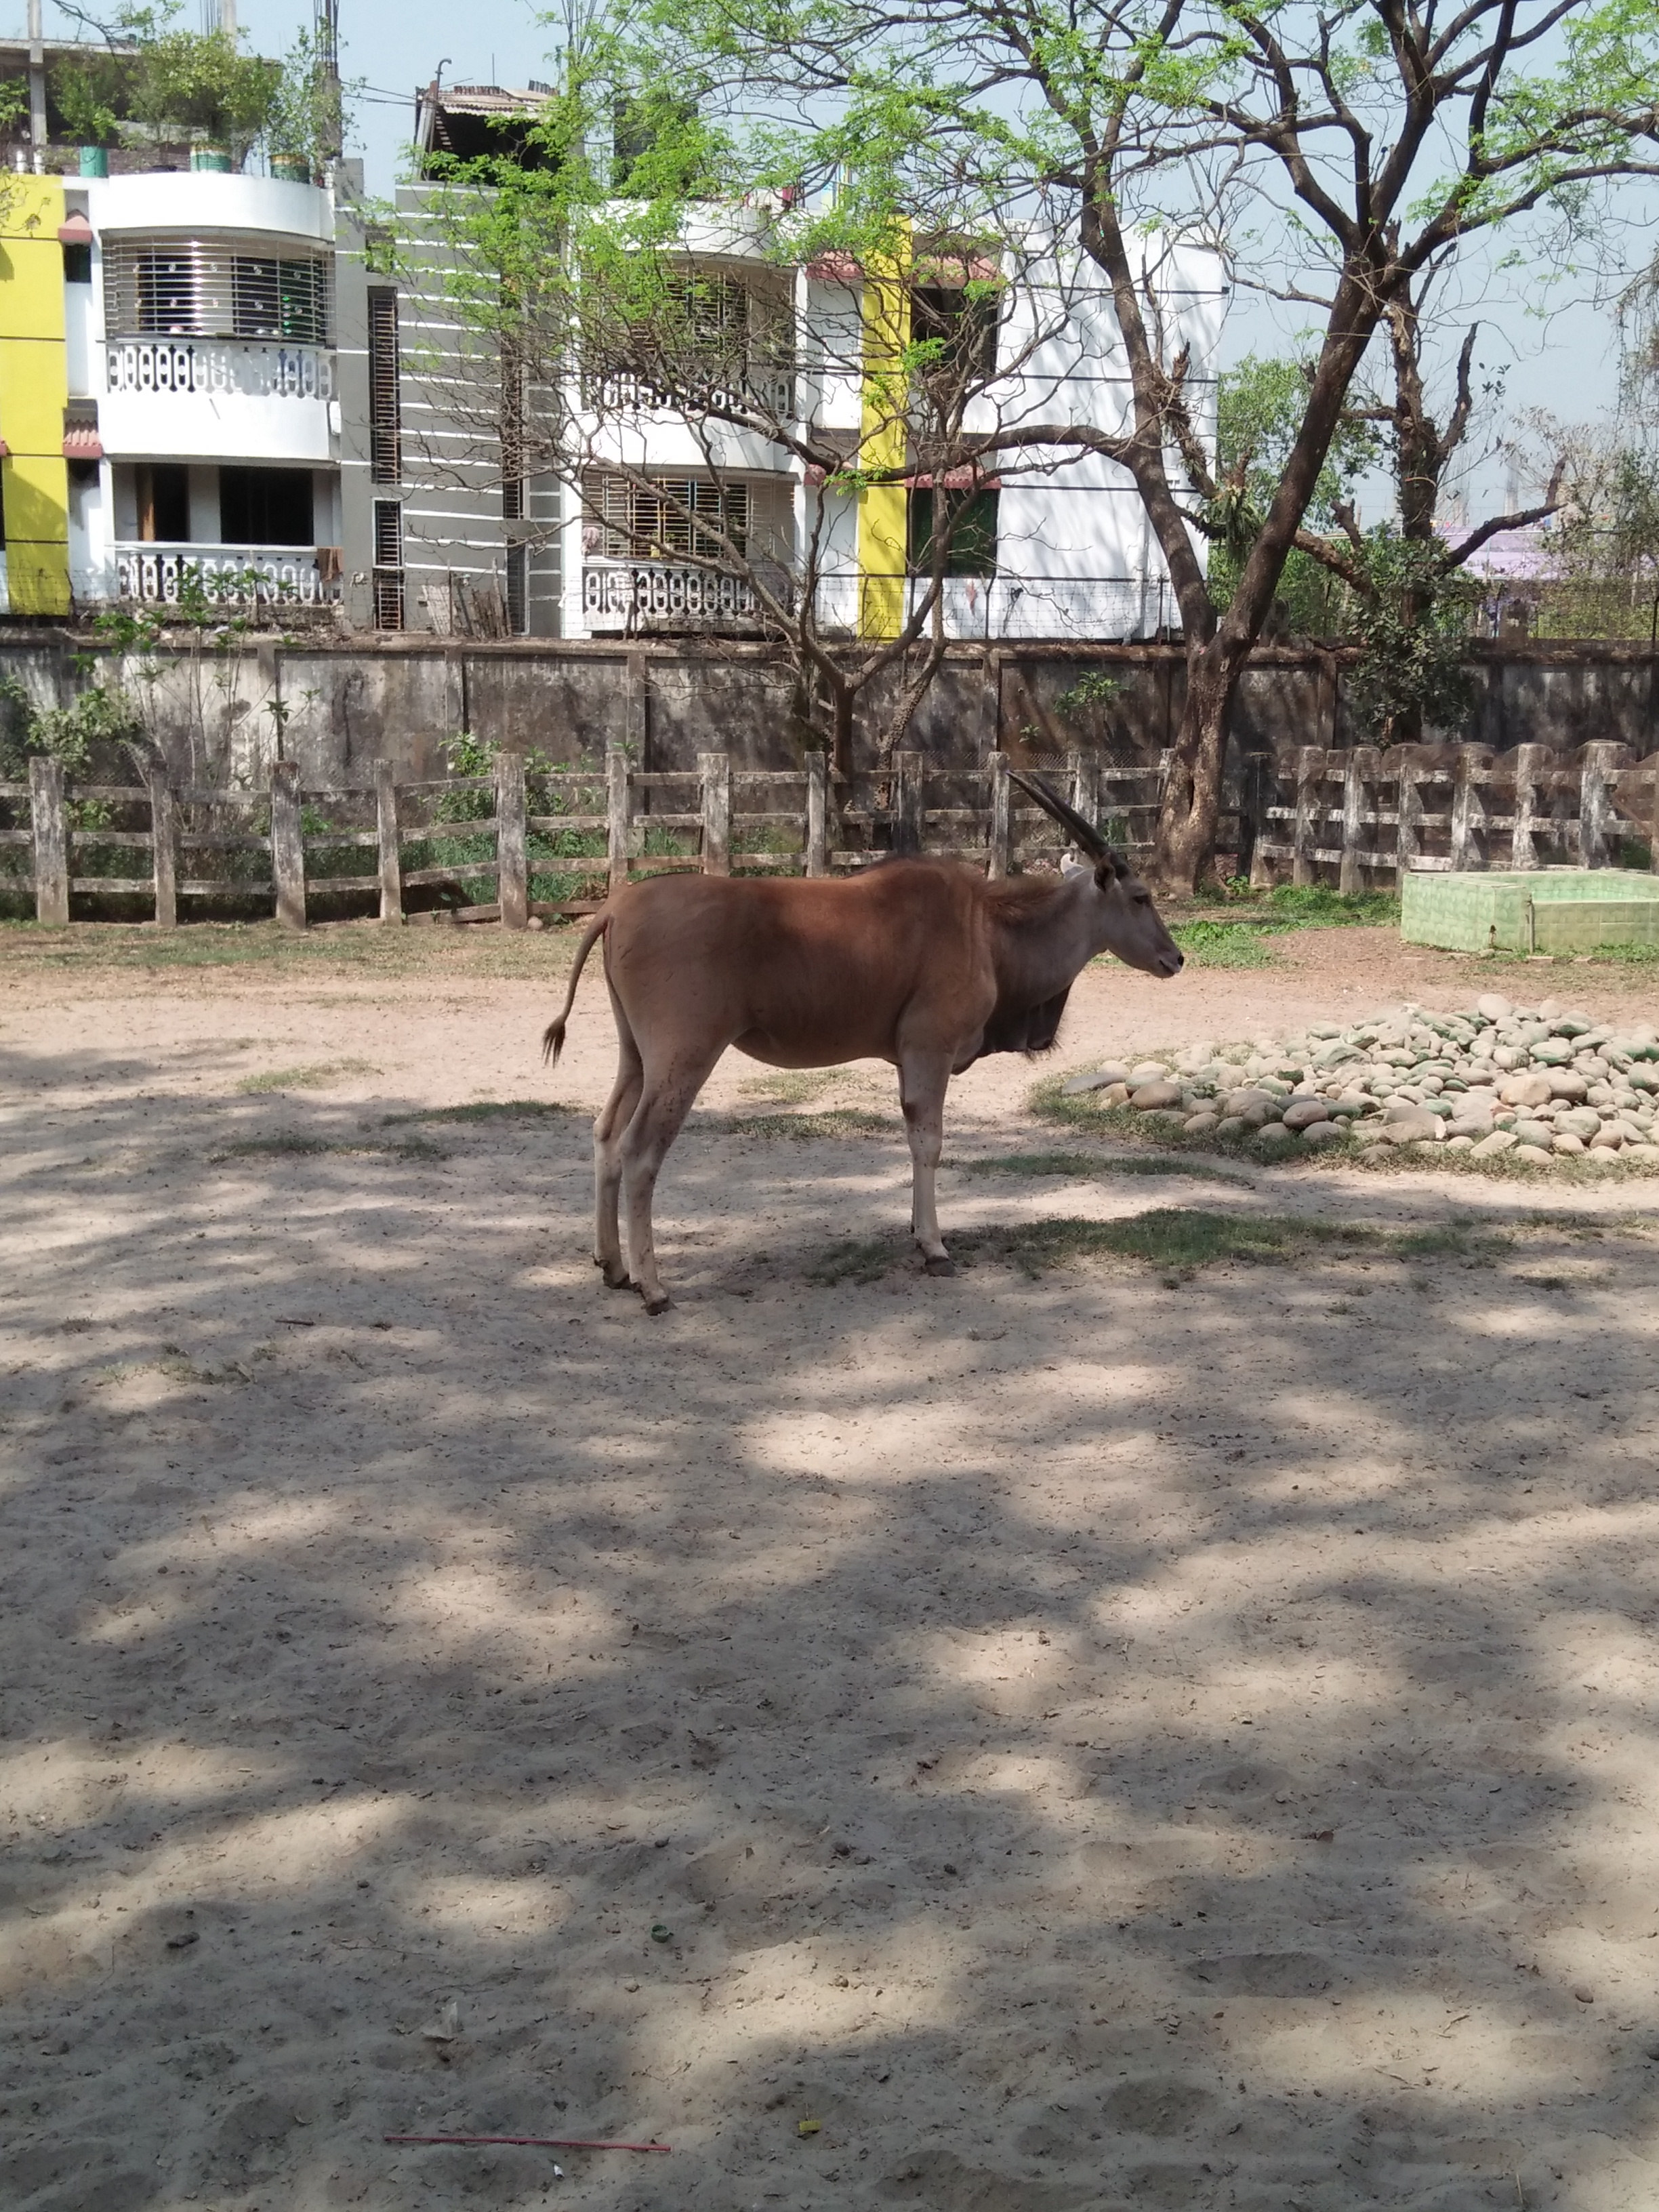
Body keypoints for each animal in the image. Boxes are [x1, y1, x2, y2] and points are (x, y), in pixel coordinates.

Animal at [542, 772, 1182, 1312]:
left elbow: (914, 1139)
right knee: (640, 1149)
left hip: (636, 1057)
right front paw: (935, 1249)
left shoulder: (909, 1059)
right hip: (684, 1057)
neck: (986, 927)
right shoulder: (929, 1052)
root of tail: (617, 908)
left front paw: (918, 1236)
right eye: (1141, 896)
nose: (1175, 959)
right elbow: (929, 1142)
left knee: (606, 1134)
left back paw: (614, 1268)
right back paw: (653, 1288)